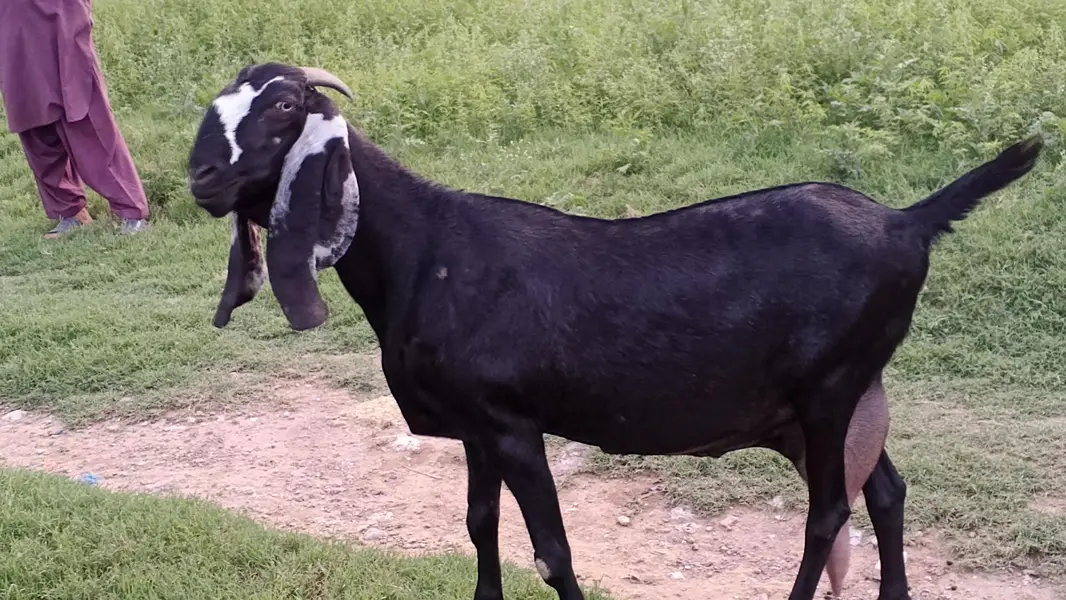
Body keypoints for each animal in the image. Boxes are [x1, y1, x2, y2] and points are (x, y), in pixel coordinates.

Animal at [186, 63, 1043, 600]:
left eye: (284, 110)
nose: (201, 178)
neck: (425, 250)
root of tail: (908, 221)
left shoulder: (511, 423)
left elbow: (552, 553)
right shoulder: (474, 426)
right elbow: (478, 527)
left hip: (830, 390)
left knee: (829, 512)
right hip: (839, 396)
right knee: (887, 492)